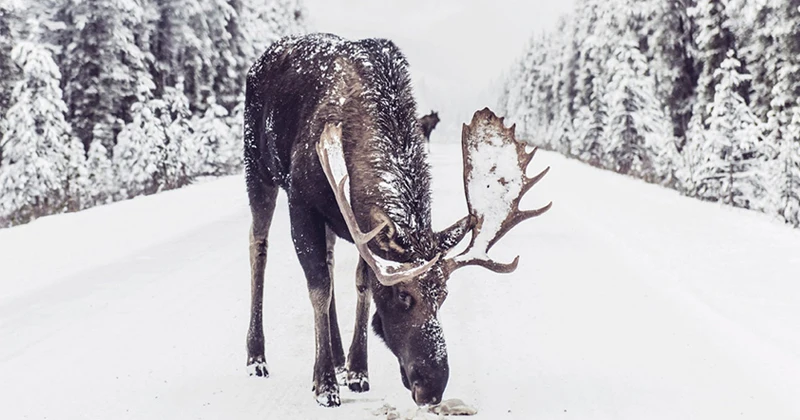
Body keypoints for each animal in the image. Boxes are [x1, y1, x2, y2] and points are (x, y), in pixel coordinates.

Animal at [243, 33, 551, 408]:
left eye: (443, 296)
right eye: (404, 296)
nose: (432, 387)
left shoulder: (360, 225)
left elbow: (360, 284)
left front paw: (357, 370)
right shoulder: (302, 202)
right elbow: (319, 288)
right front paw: (324, 384)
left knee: (328, 259)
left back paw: (338, 356)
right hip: (257, 168)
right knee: (258, 246)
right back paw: (257, 357)